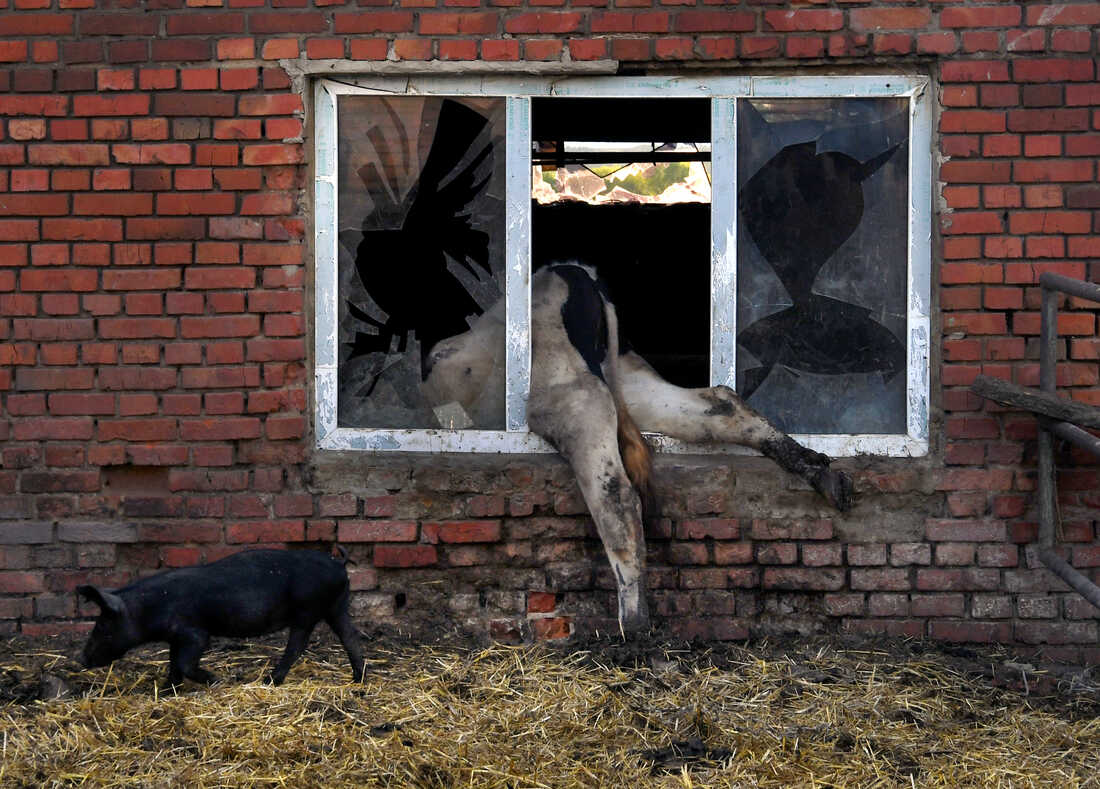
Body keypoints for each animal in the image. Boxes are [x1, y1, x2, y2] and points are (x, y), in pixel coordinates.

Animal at [75, 548, 365, 691]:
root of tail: (339, 564)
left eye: (102, 625)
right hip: (337, 606)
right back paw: (357, 679)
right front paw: (166, 691)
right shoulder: (175, 638)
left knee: (297, 645)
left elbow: (184, 664)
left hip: (307, 611)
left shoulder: (195, 633)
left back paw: (268, 681)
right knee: (350, 637)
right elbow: (173, 664)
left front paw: (218, 681)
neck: (149, 609)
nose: (81, 659)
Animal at [420, 261, 849, 638]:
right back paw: (821, 473)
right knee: (719, 404)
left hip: (572, 397)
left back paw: (633, 617)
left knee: (615, 494)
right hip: (631, 382)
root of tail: (574, 271)